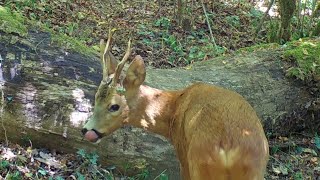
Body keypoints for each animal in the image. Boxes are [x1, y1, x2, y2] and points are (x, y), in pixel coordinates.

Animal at [81, 30, 268, 179]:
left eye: (114, 106)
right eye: (96, 98)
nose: (86, 130)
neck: (175, 107)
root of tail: (229, 148)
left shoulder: (183, 155)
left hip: (199, 164)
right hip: (255, 170)